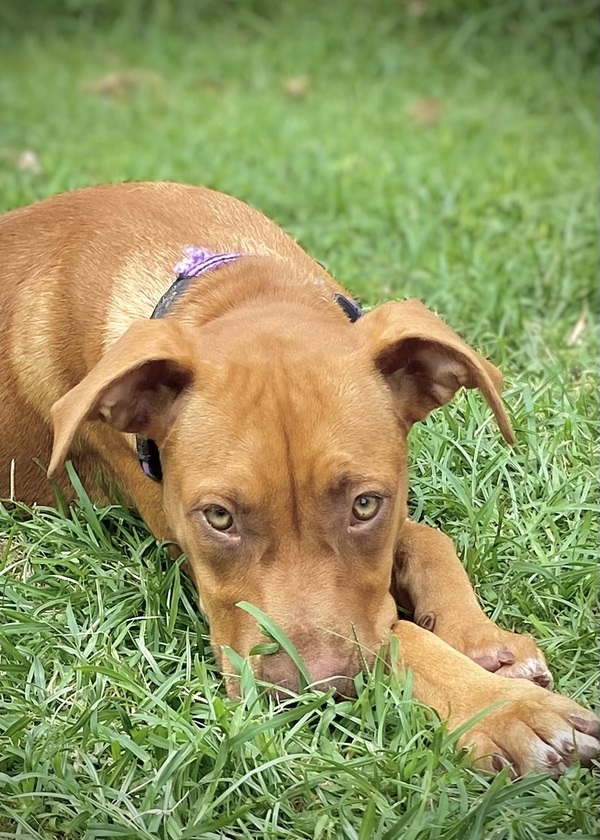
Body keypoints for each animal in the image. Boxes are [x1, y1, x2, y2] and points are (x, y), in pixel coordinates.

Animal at [1, 182, 597, 777]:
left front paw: (483, 641)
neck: (232, 283)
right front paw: (502, 708)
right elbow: (398, 636)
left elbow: (429, 540)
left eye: (365, 505)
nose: (315, 697)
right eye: (218, 518)